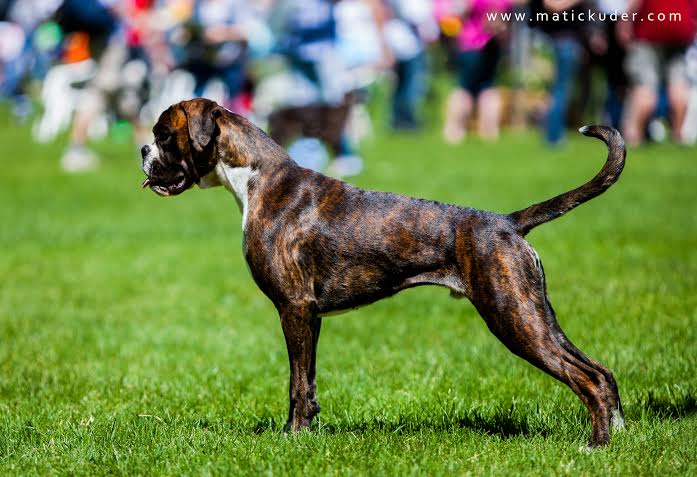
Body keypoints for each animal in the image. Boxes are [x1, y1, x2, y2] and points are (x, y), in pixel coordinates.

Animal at [140, 98, 624, 448]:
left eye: (163, 135)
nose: (142, 150)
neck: (256, 177)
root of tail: (507, 222)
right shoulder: (310, 317)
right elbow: (308, 382)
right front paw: (307, 434)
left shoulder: (293, 309)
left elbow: (295, 383)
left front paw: (291, 439)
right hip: (535, 314)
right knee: (600, 371)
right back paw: (617, 435)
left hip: (513, 317)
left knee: (586, 379)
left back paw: (595, 446)